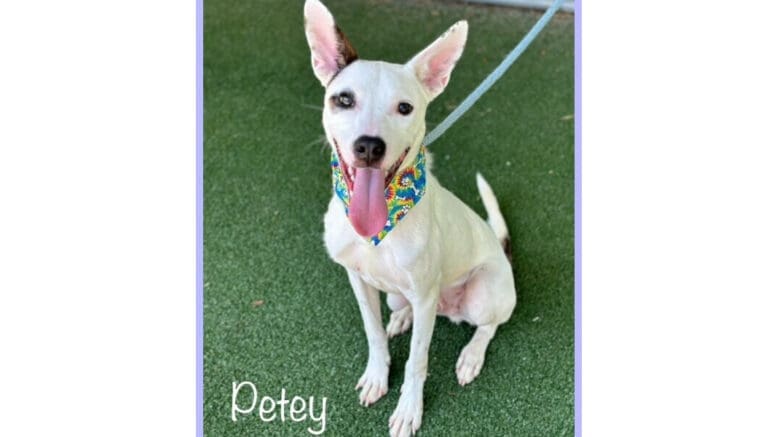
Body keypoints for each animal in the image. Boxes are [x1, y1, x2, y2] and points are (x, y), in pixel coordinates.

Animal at [304, 1, 516, 434]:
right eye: (343, 100)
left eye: (405, 108)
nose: (369, 146)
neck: (380, 229)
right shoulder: (357, 279)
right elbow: (372, 334)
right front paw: (377, 376)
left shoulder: (424, 292)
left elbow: (418, 362)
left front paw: (408, 410)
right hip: (399, 294)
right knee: (406, 309)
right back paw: (401, 319)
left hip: (482, 294)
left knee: (488, 326)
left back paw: (470, 356)